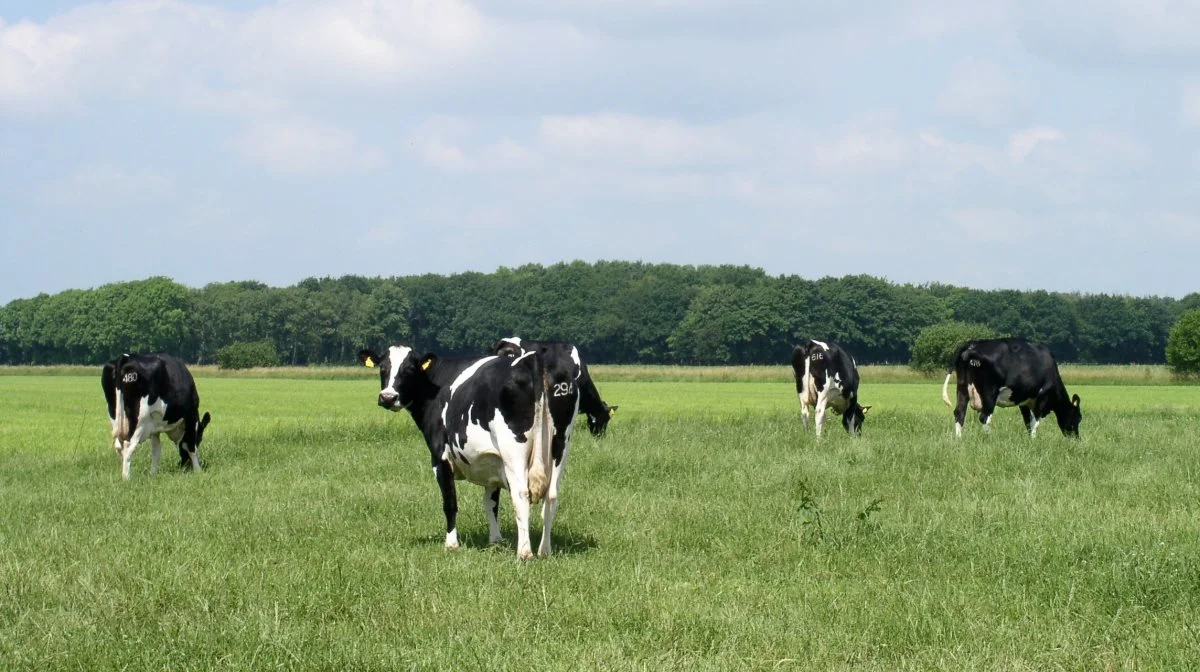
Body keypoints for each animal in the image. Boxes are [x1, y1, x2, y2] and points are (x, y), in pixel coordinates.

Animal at [355, 343, 556, 559]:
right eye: (382, 368)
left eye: (409, 370)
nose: (388, 397)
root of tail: (532, 360)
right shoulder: (494, 461)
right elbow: (491, 503)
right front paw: (495, 541)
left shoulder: (440, 459)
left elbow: (450, 502)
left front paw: (451, 543)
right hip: (557, 449)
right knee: (551, 495)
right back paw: (545, 550)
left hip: (514, 453)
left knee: (521, 494)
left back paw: (524, 552)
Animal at [940, 336, 1084, 441]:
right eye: (1078, 417)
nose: (1076, 439)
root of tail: (973, 343)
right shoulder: (1042, 397)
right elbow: (1035, 421)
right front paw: (1034, 440)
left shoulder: (1024, 401)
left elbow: (1028, 421)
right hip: (989, 393)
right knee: (984, 417)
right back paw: (991, 439)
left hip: (962, 388)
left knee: (959, 413)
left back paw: (959, 439)